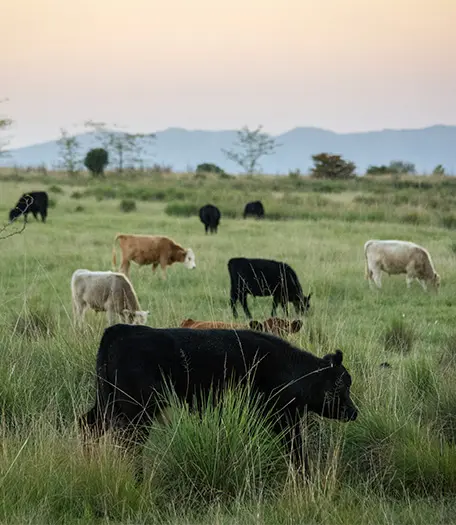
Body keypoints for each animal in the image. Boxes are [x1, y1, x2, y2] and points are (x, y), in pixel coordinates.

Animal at [80, 324, 358, 484]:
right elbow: (296, 449)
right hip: (136, 412)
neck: (289, 368)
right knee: (129, 446)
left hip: (108, 405)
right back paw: (138, 479)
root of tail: (121, 330)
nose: (354, 412)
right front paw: (306, 478)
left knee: (87, 426)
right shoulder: (282, 418)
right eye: (340, 386)